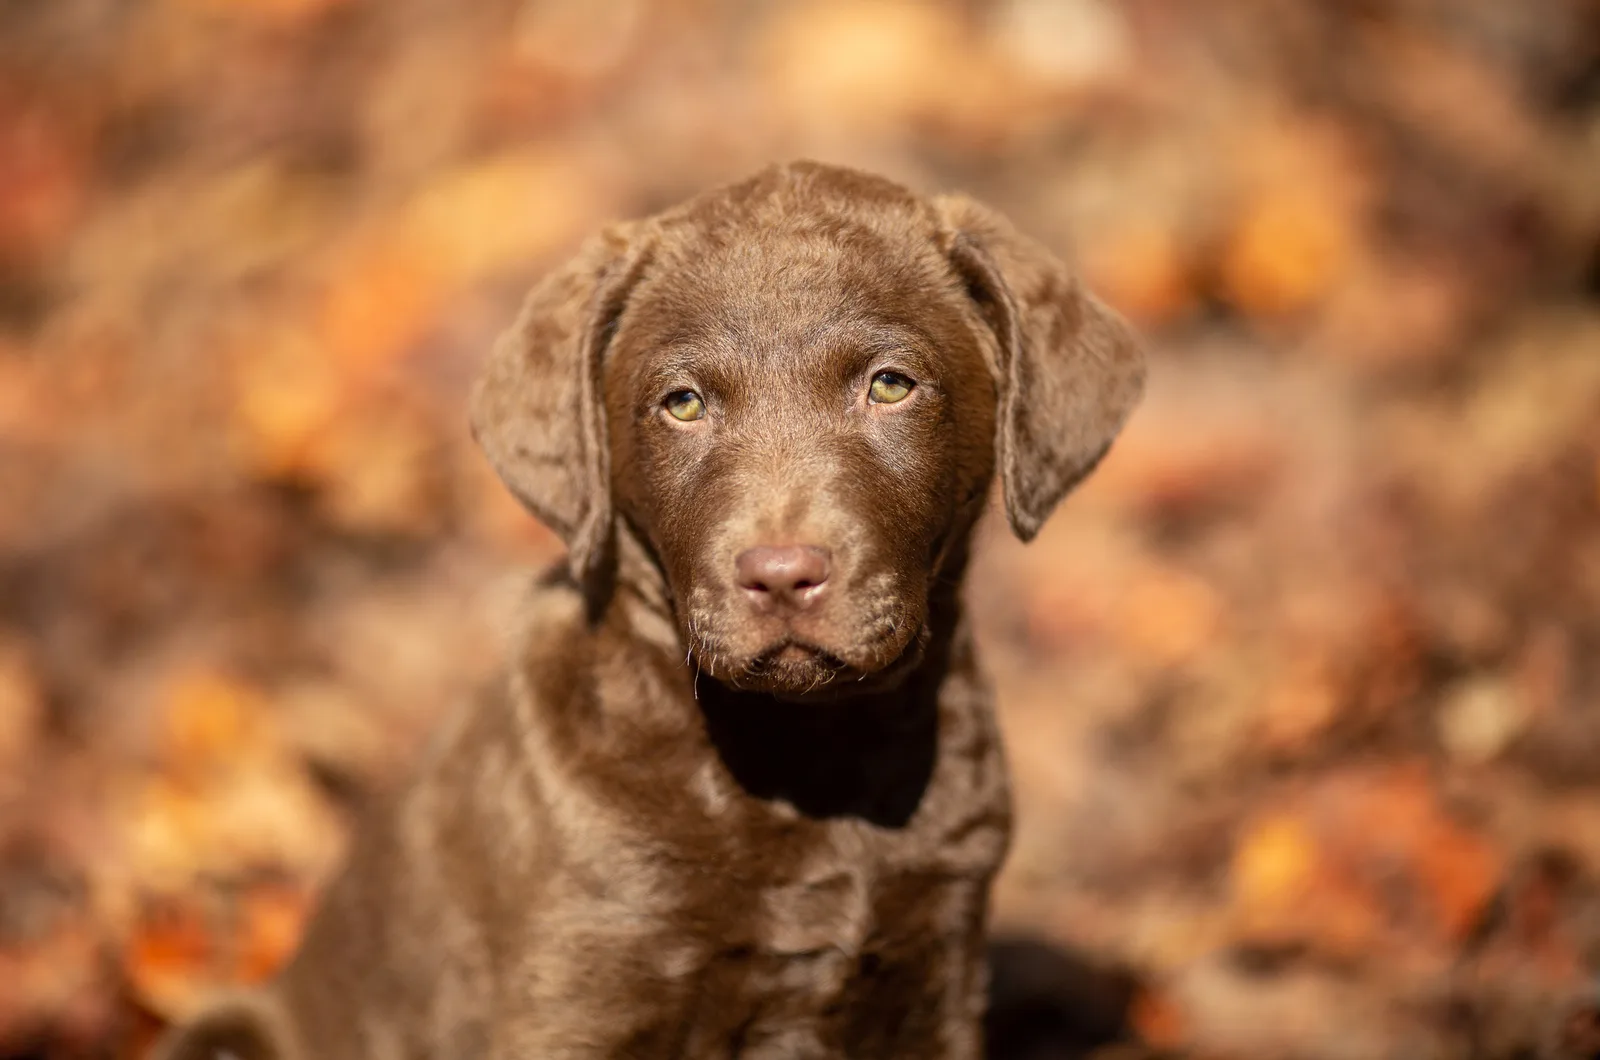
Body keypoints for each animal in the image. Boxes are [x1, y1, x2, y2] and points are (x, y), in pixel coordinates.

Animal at [156, 160, 1145, 1060]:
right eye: (684, 404)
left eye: (891, 385)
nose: (781, 575)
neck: (806, 761)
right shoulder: (576, 992)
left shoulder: (935, 969)